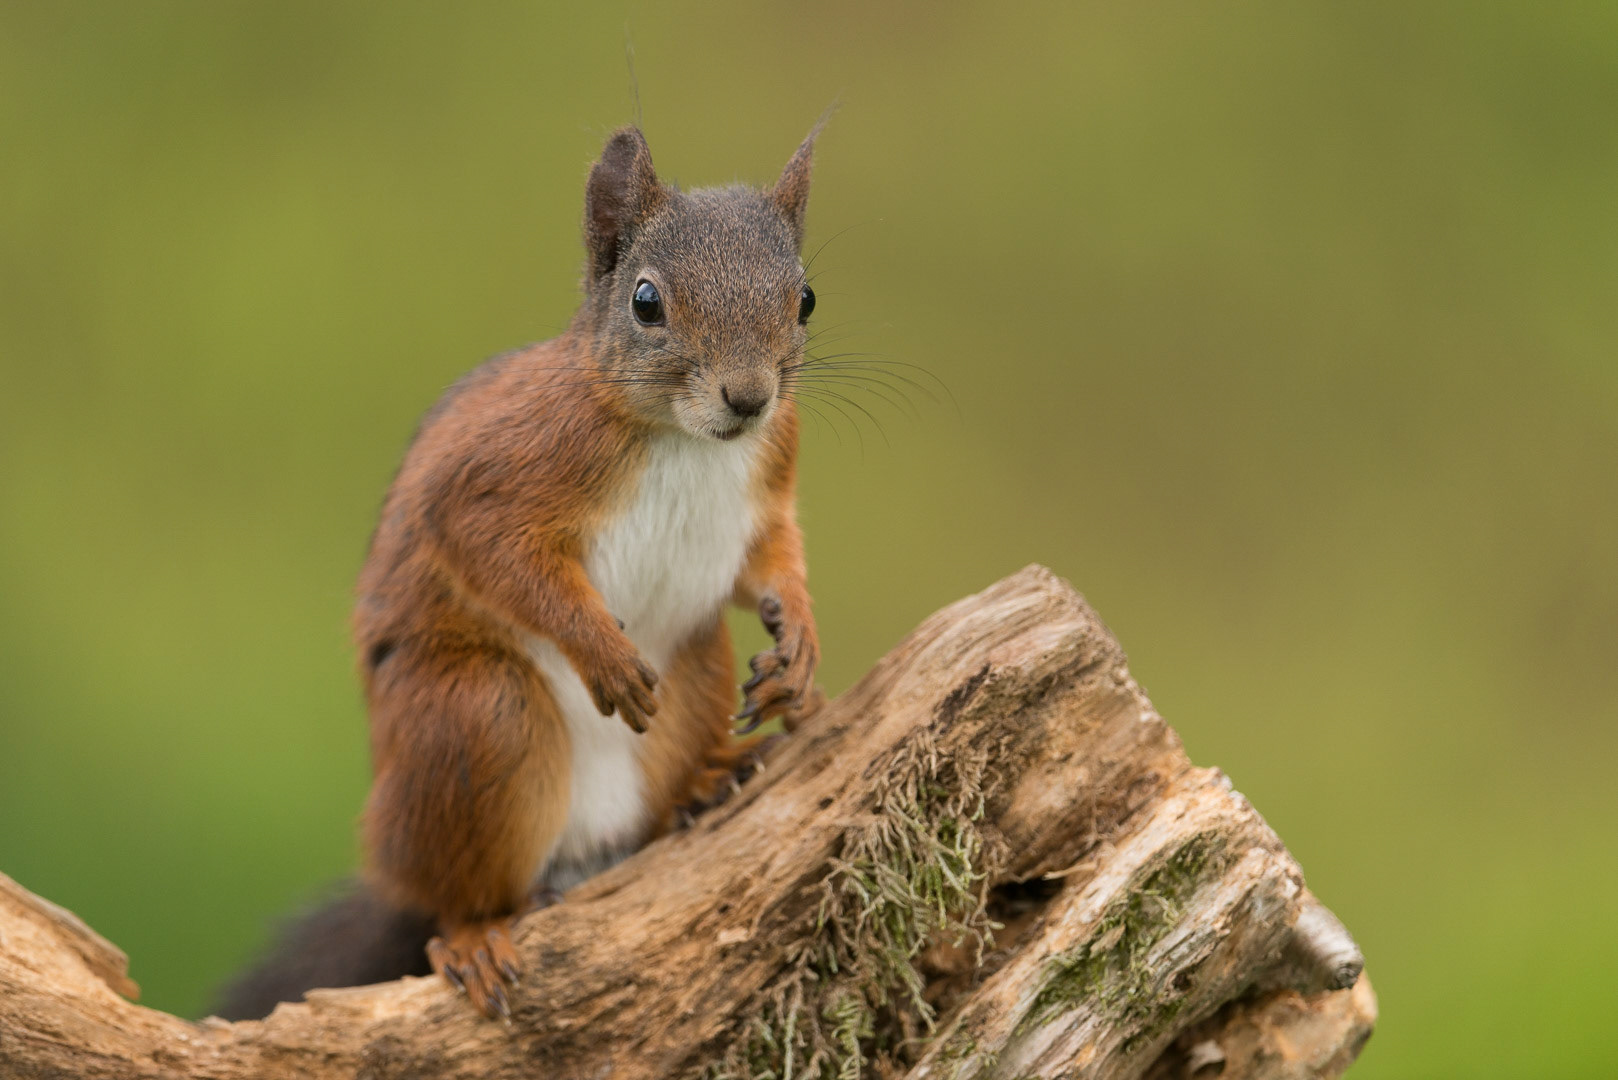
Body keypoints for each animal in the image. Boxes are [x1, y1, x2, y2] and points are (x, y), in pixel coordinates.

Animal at [214, 124, 824, 1021]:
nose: (748, 398)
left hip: (698, 667)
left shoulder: (771, 484)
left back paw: (704, 785)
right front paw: (600, 650)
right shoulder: (491, 478)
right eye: (647, 301)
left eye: (805, 298)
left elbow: (772, 565)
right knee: (459, 895)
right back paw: (474, 934)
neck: (685, 441)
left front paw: (801, 649)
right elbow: (497, 553)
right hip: (472, 717)